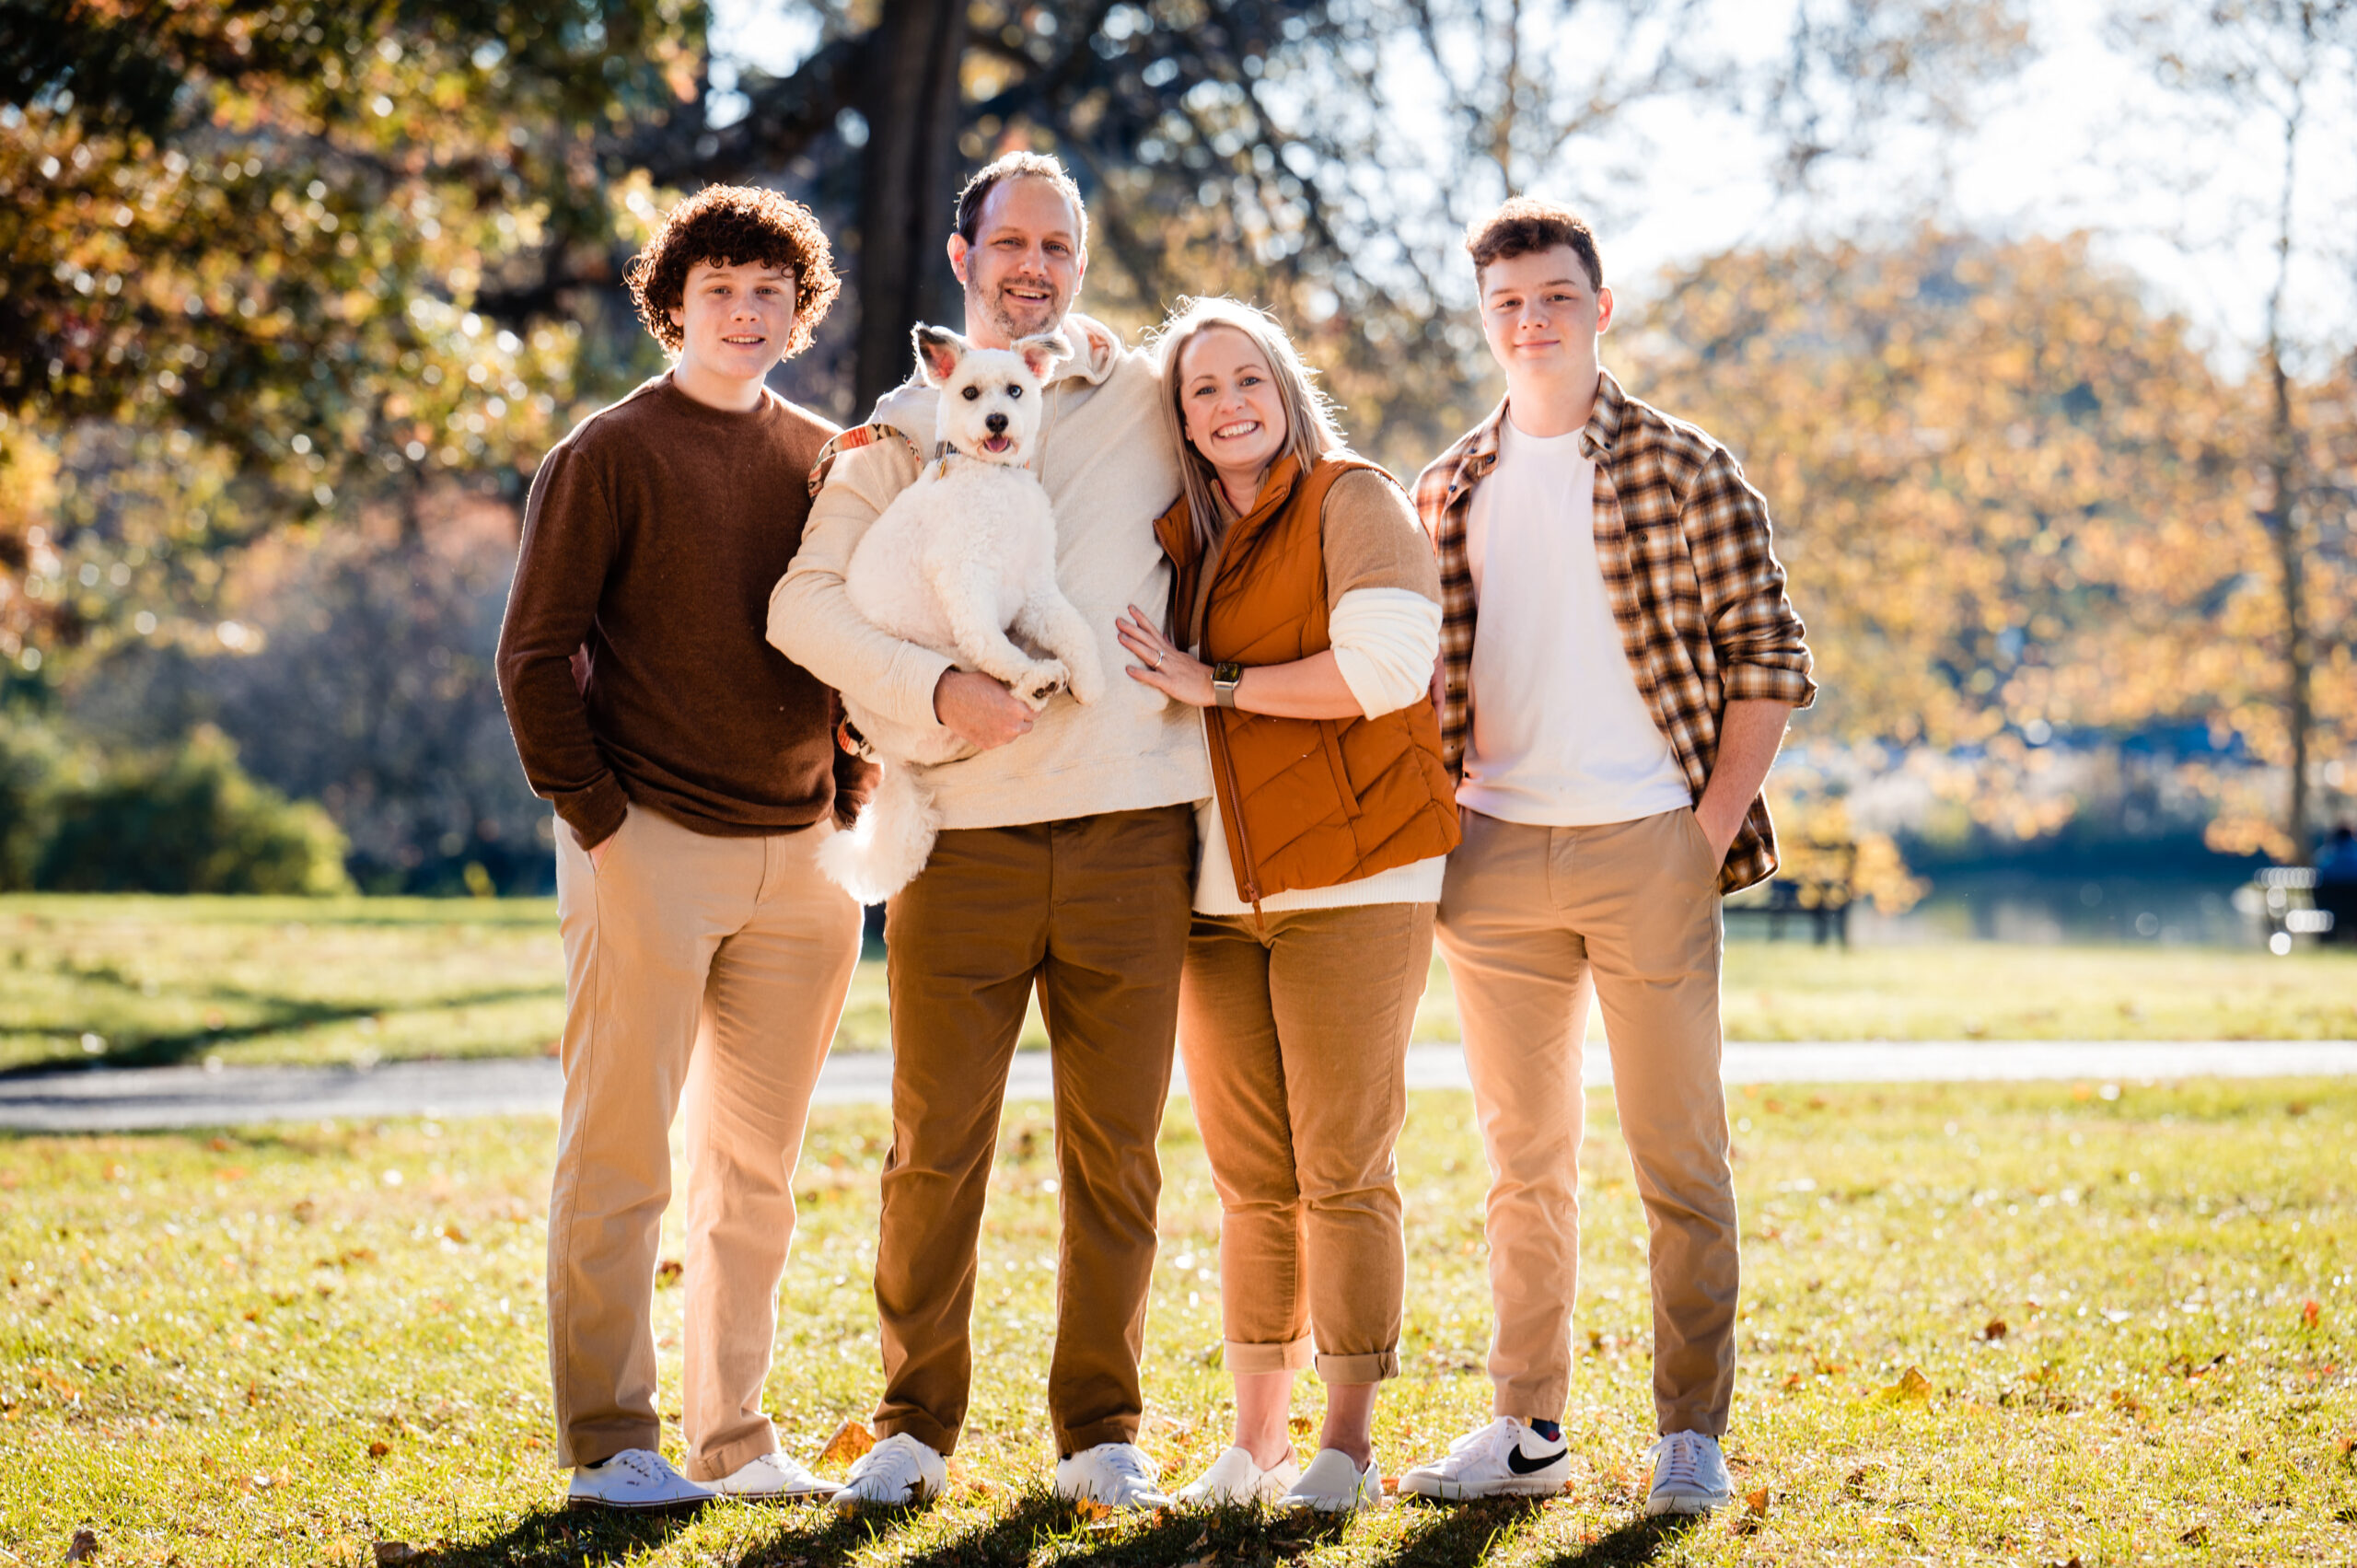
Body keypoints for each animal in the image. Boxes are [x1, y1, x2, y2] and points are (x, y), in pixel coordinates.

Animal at [819, 322, 1103, 900]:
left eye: (1015, 390)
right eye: (970, 393)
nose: (997, 420)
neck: (990, 477)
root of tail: (888, 753)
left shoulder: (1034, 589)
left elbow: (1075, 631)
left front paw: (1089, 681)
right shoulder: (966, 580)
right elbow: (990, 641)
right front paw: (1029, 672)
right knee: (986, 674)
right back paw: (1035, 684)